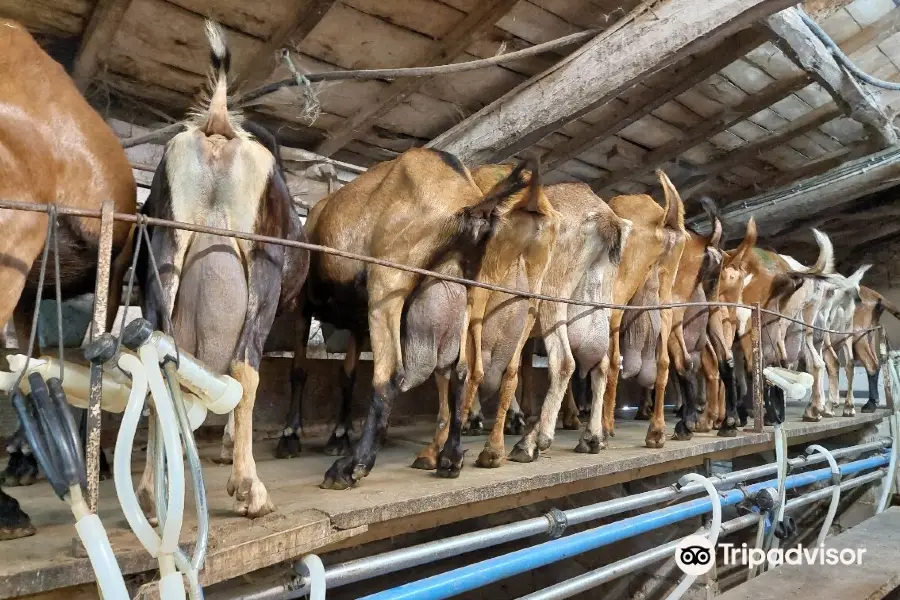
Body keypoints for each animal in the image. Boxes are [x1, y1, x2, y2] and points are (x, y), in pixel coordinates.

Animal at [135, 21, 308, 516]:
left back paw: (152, 491)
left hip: (165, 253)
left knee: (159, 358)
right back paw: (250, 488)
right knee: (245, 366)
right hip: (262, 267)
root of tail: (219, 127)